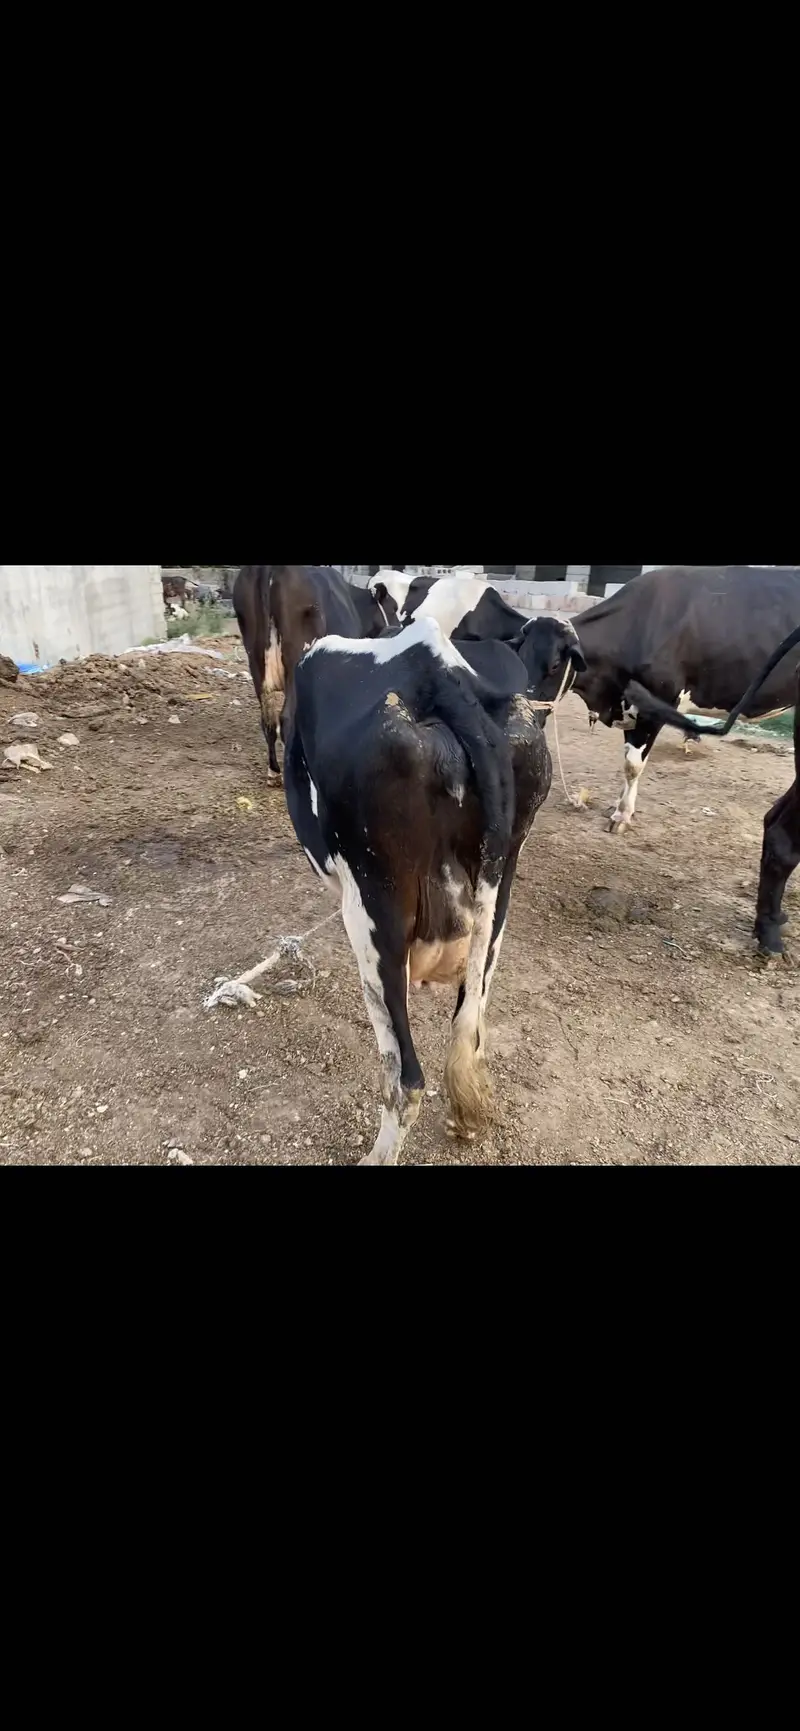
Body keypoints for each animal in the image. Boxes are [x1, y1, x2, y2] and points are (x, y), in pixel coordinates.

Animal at [282, 614, 586, 1165]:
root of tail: (440, 673)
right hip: (502, 888)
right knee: (470, 1030)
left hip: (371, 907)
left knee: (406, 1078)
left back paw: (377, 1154)